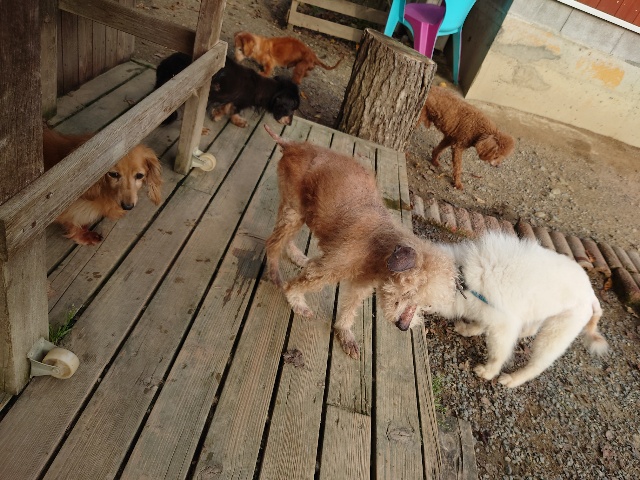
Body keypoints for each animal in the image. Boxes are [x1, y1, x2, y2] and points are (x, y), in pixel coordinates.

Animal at [155, 53, 300, 127]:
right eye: (291, 108)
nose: (290, 124)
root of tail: (165, 63)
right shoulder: (240, 101)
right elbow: (232, 111)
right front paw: (236, 121)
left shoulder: (232, 99)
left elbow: (227, 108)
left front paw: (218, 114)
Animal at [264, 124, 456, 359]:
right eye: (409, 292)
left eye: (426, 305)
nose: (403, 326)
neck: (379, 251)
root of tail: (293, 145)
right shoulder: (325, 269)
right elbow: (298, 286)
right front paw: (297, 302)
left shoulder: (362, 285)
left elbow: (349, 309)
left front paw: (345, 334)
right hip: (294, 210)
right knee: (273, 243)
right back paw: (275, 273)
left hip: (300, 212)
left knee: (285, 240)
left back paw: (296, 256)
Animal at [423, 231, 608, 388]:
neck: (463, 280)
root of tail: (591, 295)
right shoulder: (493, 312)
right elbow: (480, 323)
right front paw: (468, 330)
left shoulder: (503, 324)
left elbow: (497, 354)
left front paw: (488, 372)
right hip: (542, 310)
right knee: (532, 328)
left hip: (556, 333)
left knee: (536, 365)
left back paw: (513, 379)